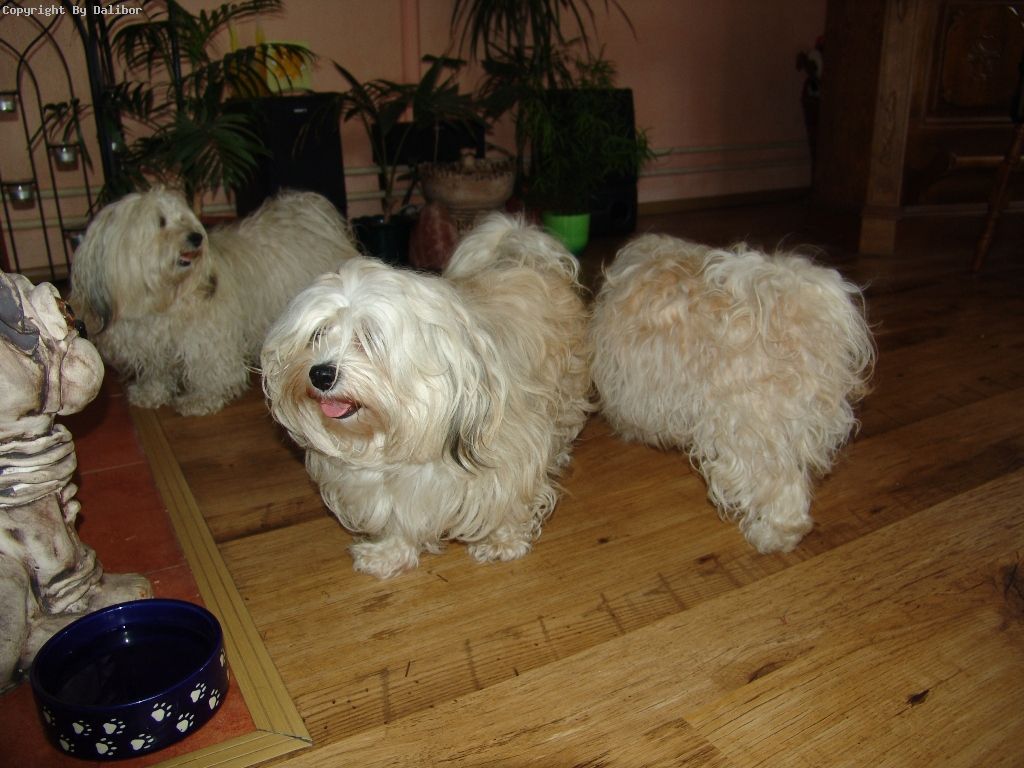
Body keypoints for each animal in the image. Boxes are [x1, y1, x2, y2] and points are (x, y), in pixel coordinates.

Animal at [69, 188, 360, 415]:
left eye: (185, 219)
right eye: (161, 222)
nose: (196, 237)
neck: (163, 299)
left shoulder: (205, 339)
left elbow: (209, 371)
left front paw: (200, 400)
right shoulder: (148, 344)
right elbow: (156, 371)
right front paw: (150, 394)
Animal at [261, 214, 592, 578]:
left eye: (369, 338)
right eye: (317, 334)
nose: (320, 374)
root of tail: (526, 259)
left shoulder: (512, 454)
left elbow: (510, 499)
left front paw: (502, 541)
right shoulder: (385, 488)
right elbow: (396, 515)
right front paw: (390, 553)